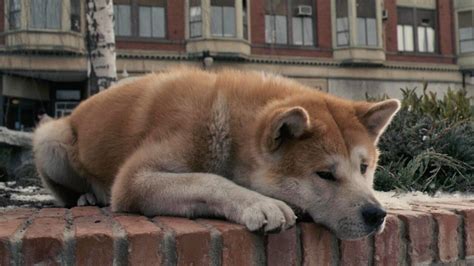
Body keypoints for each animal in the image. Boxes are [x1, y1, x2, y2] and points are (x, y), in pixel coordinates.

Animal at [31, 67, 398, 240]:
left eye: (364, 167)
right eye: (324, 174)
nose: (376, 214)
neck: (227, 125)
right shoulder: (133, 180)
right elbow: (208, 180)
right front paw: (259, 203)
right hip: (50, 140)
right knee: (65, 191)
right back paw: (87, 197)